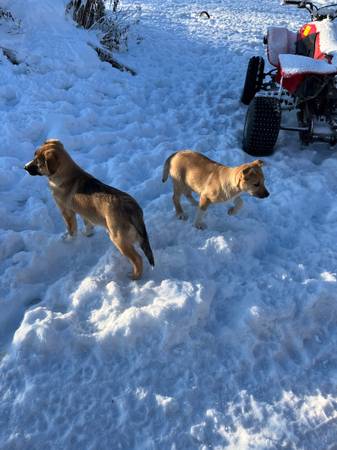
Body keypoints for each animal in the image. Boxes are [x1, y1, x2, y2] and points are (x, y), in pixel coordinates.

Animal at [24, 139, 154, 280]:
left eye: (38, 162)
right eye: (34, 156)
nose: (24, 167)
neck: (66, 175)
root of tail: (132, 208)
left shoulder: (66, 211)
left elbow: (71, 230)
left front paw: (68, 240)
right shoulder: (84, 211)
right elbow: (88, 224)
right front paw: (88, 234)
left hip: (118, 238)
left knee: (138, 259)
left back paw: (135, 276)